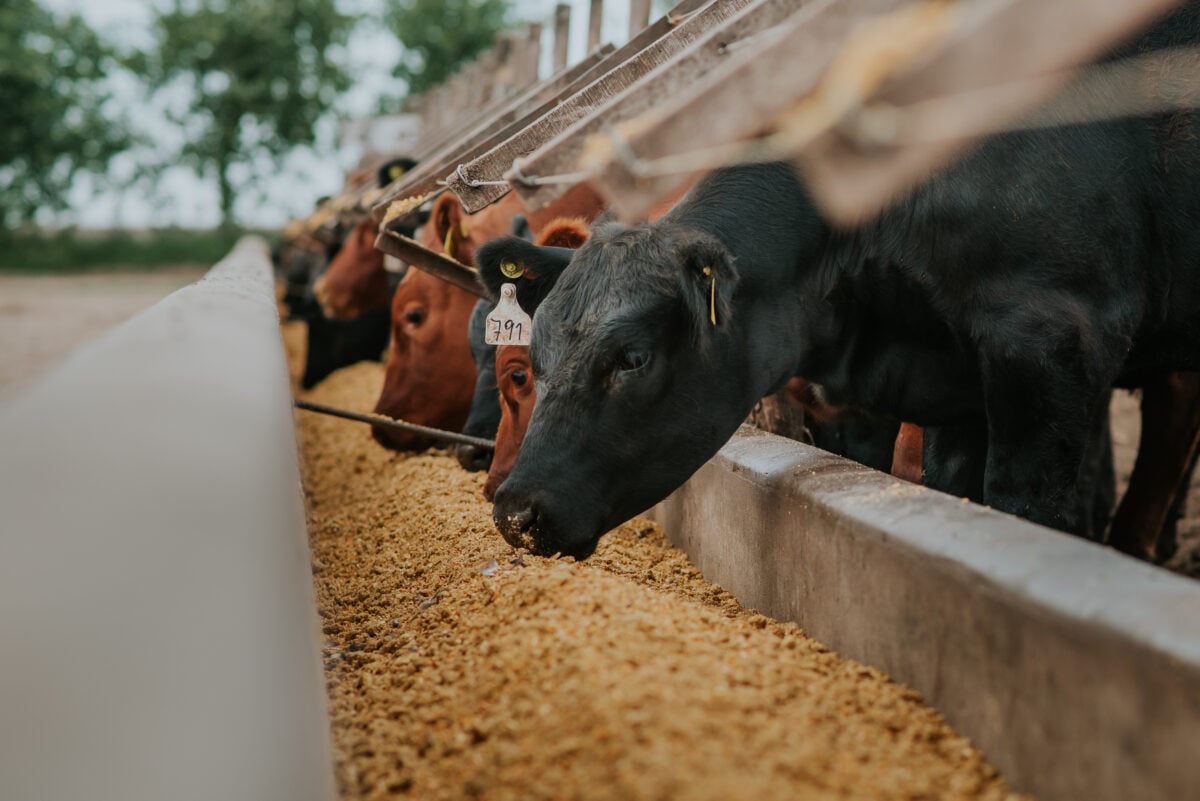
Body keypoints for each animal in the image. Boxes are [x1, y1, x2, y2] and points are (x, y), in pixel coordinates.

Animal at [482, 6, 1195, 556]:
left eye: (632, 357)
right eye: (535, 358)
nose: (515, 513)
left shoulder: (1050, 339)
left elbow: (1023, 507)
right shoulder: (959, 382)